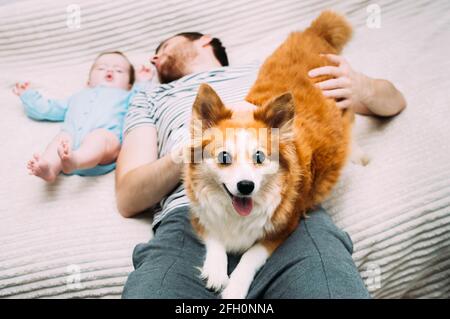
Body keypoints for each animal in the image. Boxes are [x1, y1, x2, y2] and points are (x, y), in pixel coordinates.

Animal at [185, 10, 356, 300]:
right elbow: (215, 239)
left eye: (259, 157)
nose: (246, 186)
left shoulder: (283, 227)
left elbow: (250, 255)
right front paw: (217, 271)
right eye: (224, 158)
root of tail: (315, 32)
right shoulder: (200, 216)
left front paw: (234, 288)